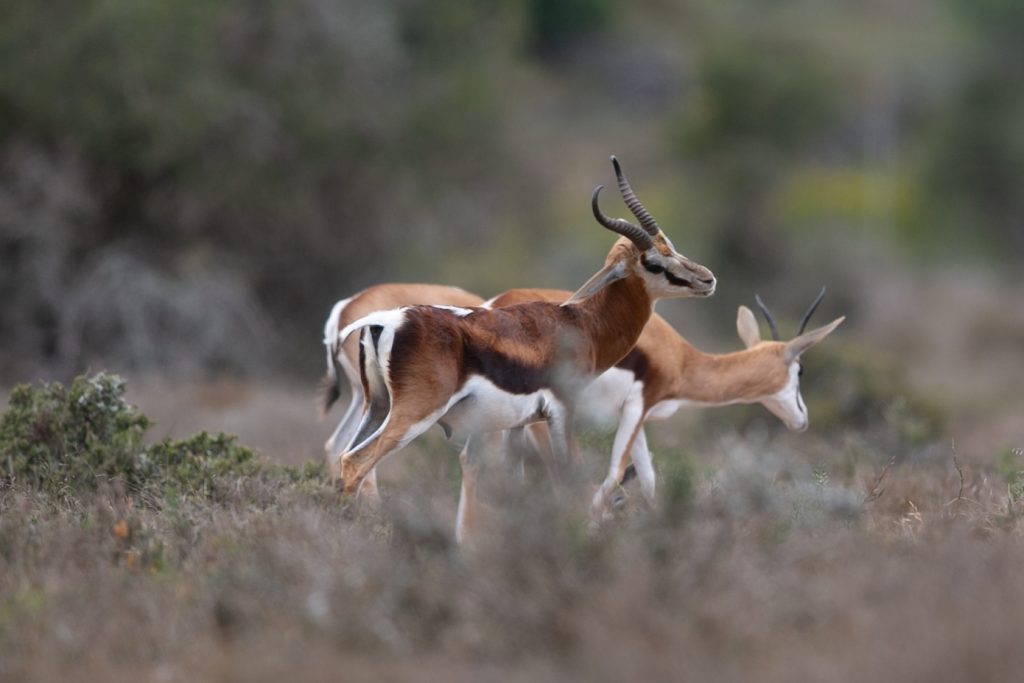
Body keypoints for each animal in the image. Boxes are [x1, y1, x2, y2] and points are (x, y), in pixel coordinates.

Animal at [487, 287, 844, 522]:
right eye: (800, 370)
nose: (802, 418)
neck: (680, 357)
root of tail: (493, 305)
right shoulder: (639, 404)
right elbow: (617, 471)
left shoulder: (637, 414)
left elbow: (648, 478)